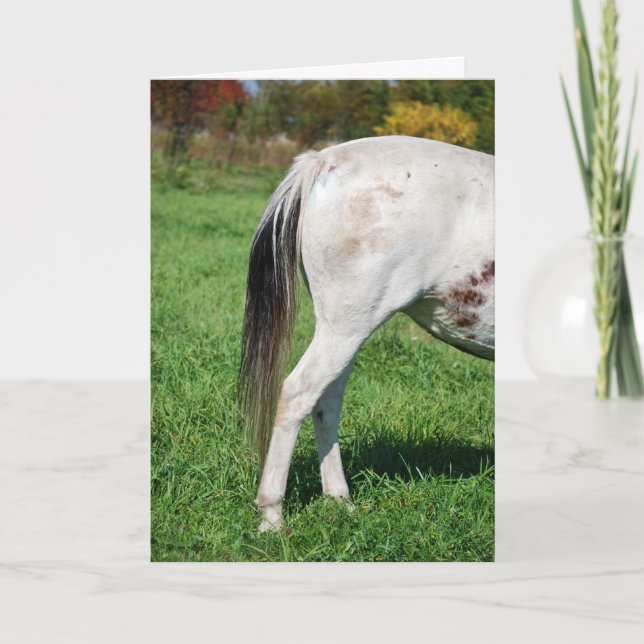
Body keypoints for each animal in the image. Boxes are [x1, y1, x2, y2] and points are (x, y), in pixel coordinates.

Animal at [239, 135, 494, 532]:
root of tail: (323, 161)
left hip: (344, 328)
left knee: (325, 403)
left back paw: (340, 501)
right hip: (346, 328)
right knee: (297, 394)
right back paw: (272, 514)